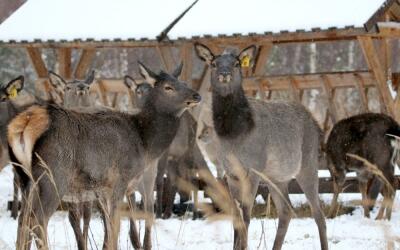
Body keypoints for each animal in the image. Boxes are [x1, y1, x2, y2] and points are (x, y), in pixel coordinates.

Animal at [6, 61, 200, 250]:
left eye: (184, 83)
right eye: (168, 87)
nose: (197, 96)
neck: (144, 142)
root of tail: (26, 121)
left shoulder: (103, 190)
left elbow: (109, 229)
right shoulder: (119, 180)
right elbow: (114, 227)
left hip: (25, 178)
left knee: (23, 220)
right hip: (53, 176)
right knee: (38, 219)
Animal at [195, 43, 328, 250]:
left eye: (236, 63)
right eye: (214, 63)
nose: (224, 73)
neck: (234, 135)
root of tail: (316, 124)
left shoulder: (253, 169)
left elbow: (247, 216)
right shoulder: (231, 173)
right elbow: (236, 217)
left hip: (308, 165)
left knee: (318, 213)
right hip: (277, 177)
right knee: (286, 211)